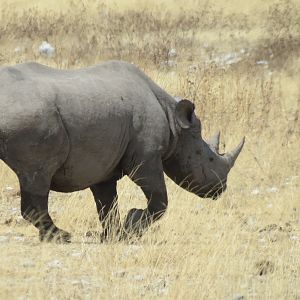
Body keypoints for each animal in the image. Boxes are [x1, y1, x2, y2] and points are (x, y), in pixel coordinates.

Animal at [0, 60, 244, 241]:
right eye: (208, 158)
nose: (220, 189)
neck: (174, 122)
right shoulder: (146, 157)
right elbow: (160, 200)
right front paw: (131, 227)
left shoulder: (103, 164)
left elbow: (107, 205)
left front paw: (114, 235)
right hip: (33, 118)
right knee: (37, 174)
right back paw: (61, 236)